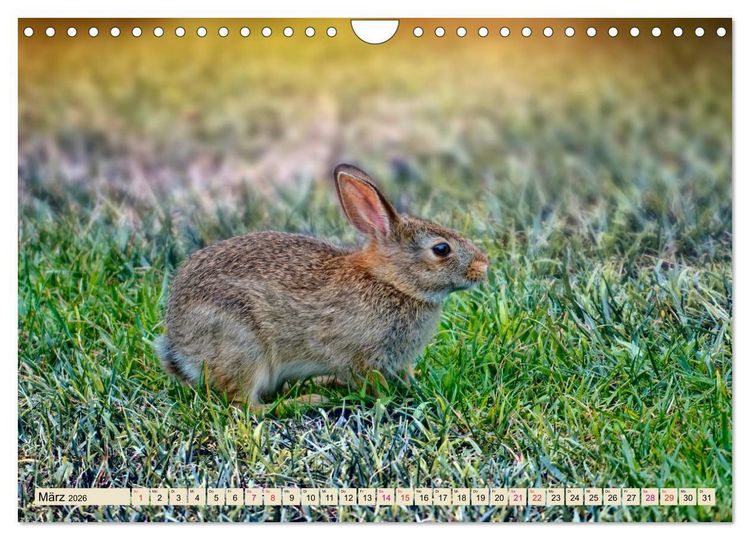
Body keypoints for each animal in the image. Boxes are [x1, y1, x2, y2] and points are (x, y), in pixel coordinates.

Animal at [156, 164, 488, 409]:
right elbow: (374, 384)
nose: (483, 265)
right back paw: (307, 400)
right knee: (245, 405)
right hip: (242, 347)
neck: (391, 282)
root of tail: (180, 348)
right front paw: (390, 397)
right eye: (441, 249)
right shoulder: (360, 357)